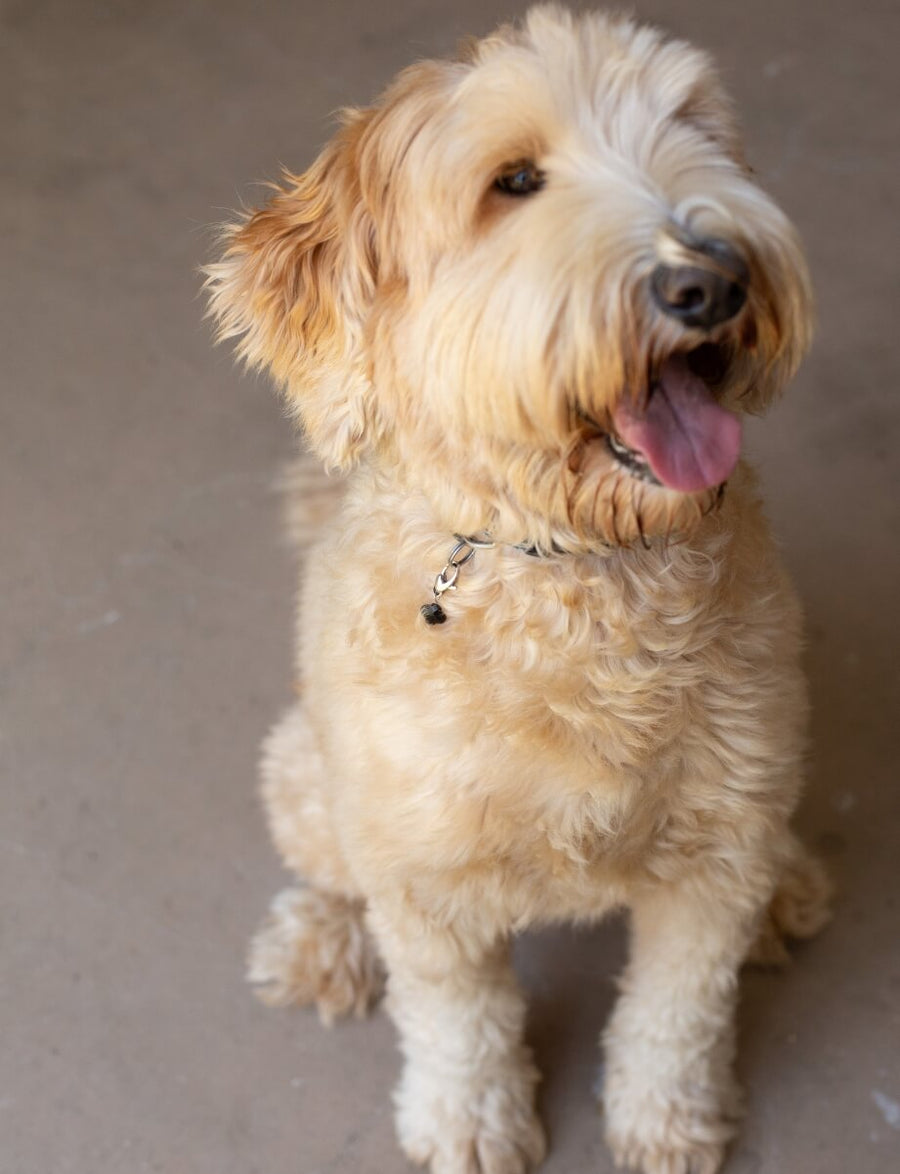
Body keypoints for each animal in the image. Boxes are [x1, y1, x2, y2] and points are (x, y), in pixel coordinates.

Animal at [204, 9, 830, 1174]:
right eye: (516, 181)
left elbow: (679, 1010)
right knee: (333, 869)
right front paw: (471, 1123)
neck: (570, 567)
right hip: (306, 774)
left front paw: (667, 1119)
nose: (712, 280)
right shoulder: (424, 878)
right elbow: (459, 1019)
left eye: (695, 133)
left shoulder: (716, 855)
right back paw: (323, 941)